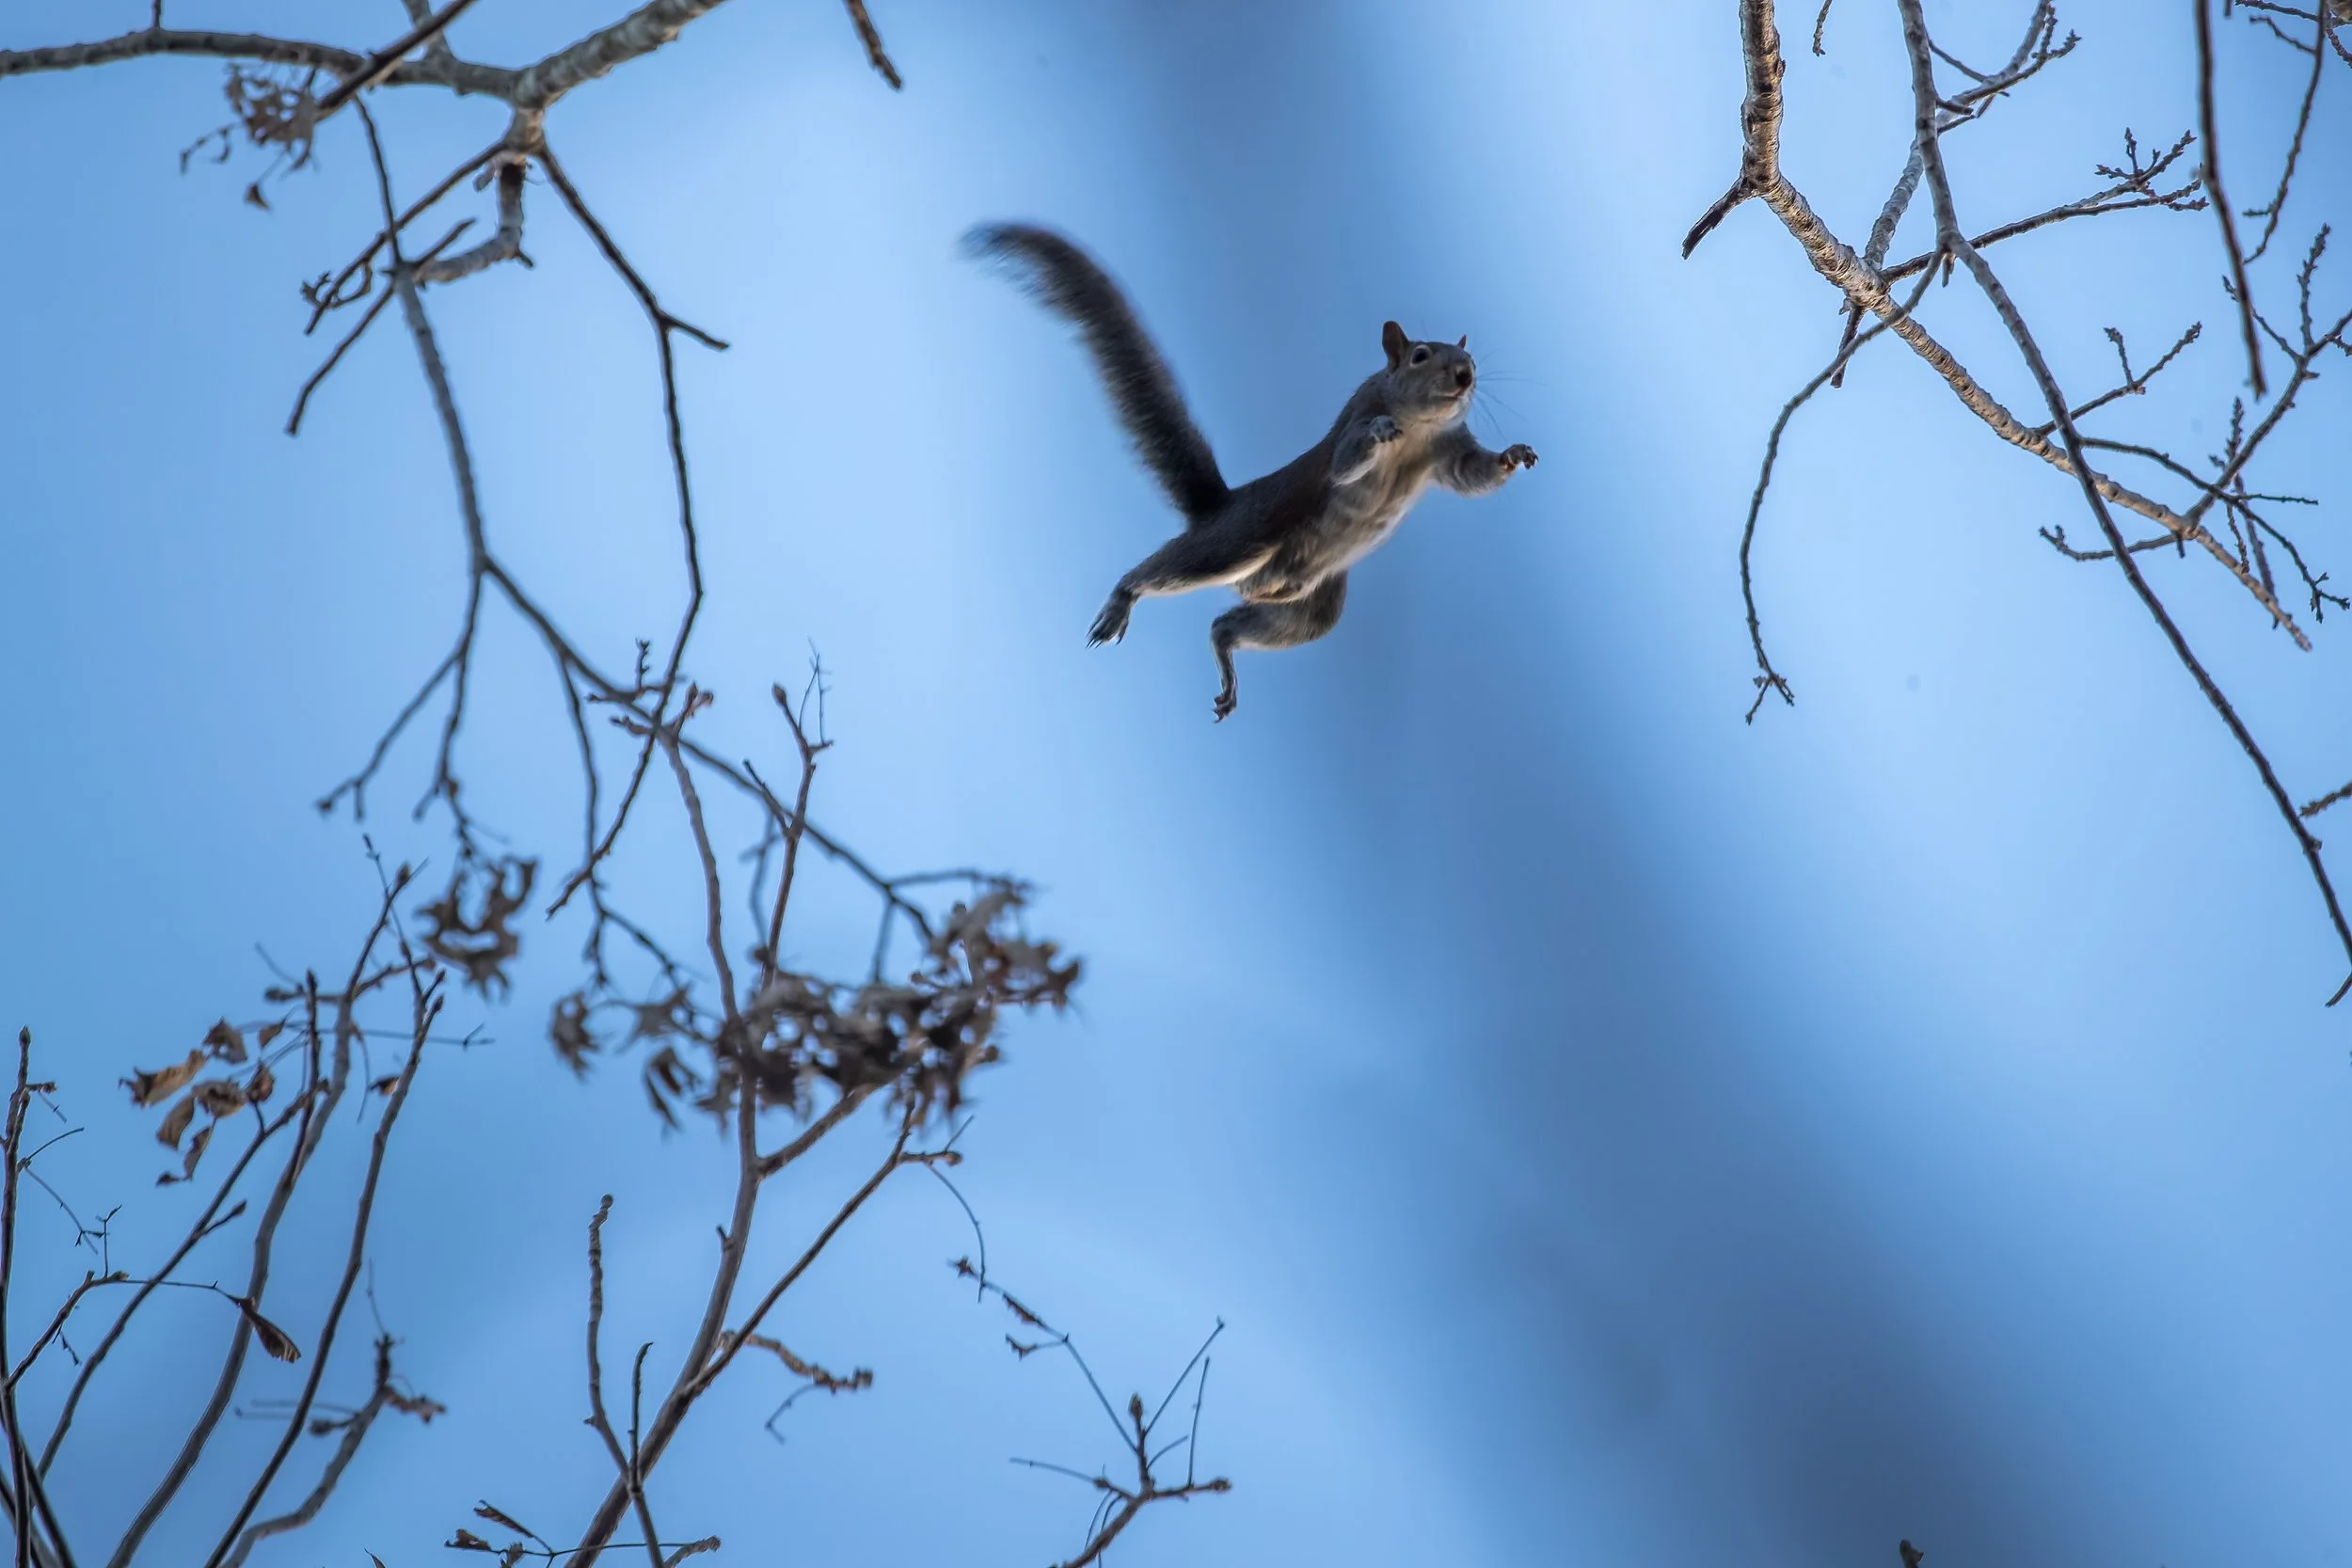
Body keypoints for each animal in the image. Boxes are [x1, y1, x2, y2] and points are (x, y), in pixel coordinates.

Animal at [966, 222, 1537, 721]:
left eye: (1467, 356)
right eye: (1420, 354)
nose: (1465, 374)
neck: (1419, 432)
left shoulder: (1448, 452)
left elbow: (1472, 475)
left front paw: (1515, 456)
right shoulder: (1351, 424)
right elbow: (1344, 466)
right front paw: (1379, 433)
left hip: (1309, 610)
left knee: (1226, 624)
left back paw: (1224, 655)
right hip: (1239, 541)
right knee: (1163, 571)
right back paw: (1122, 600)